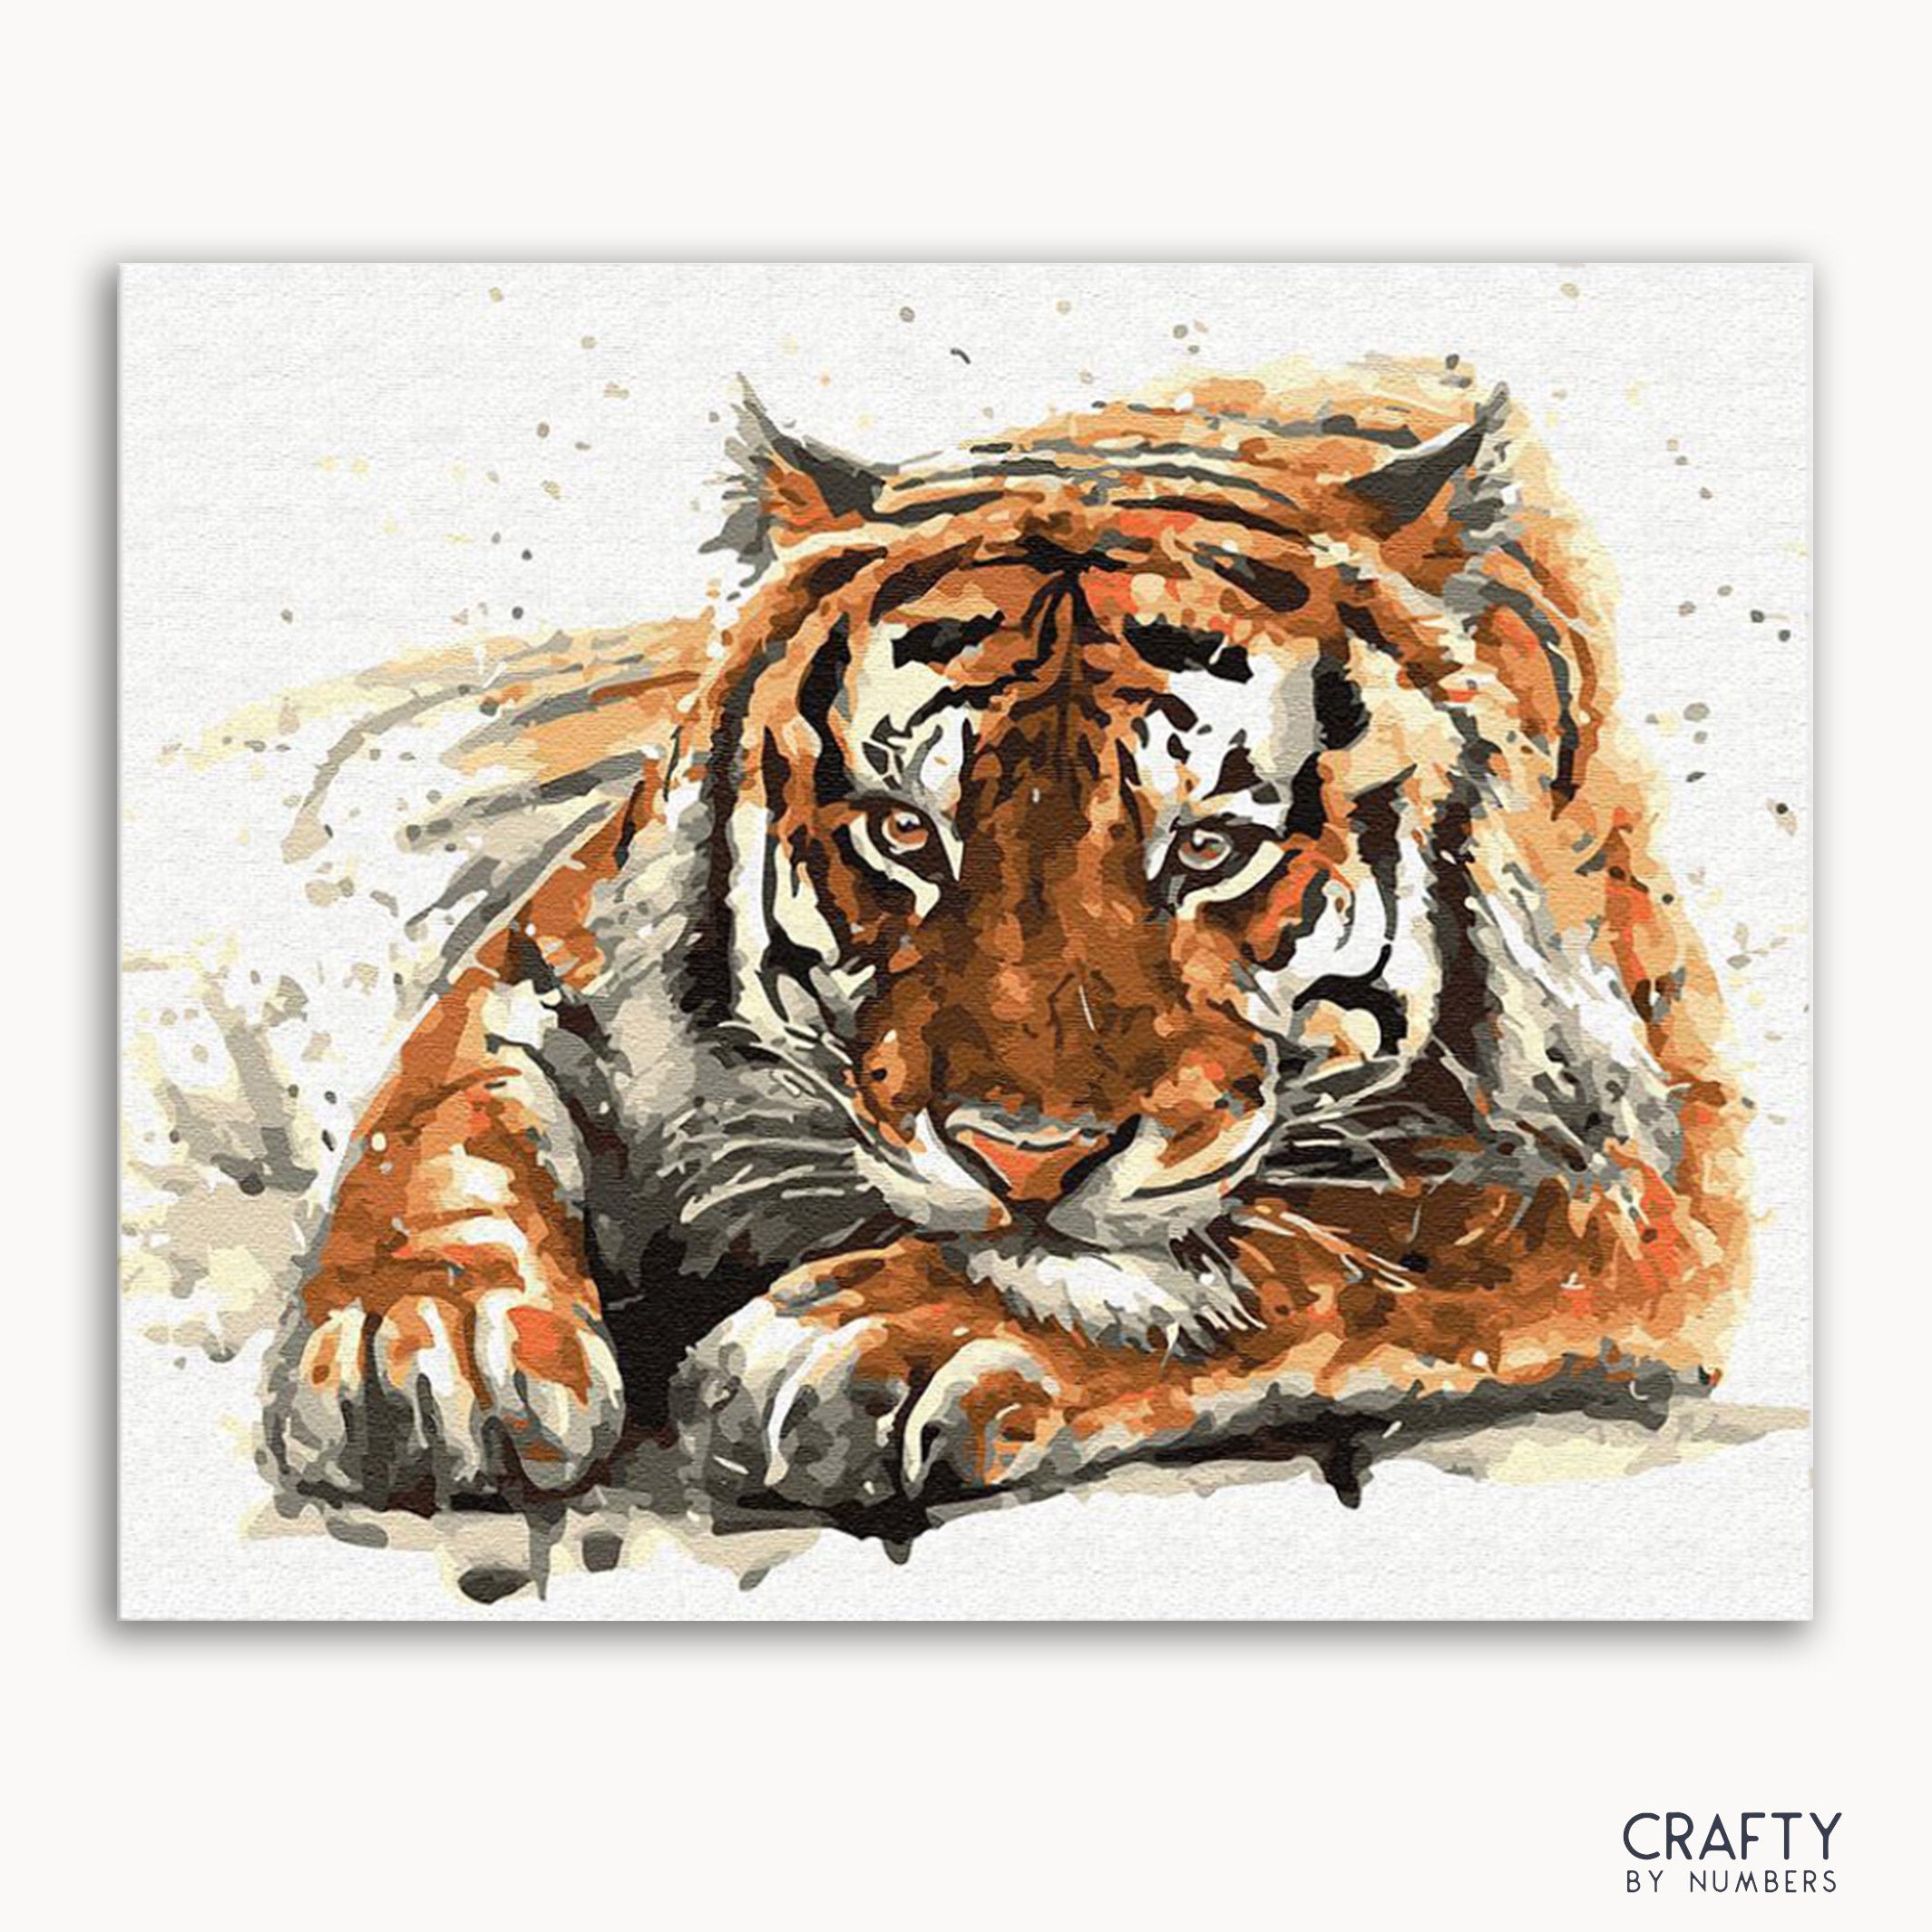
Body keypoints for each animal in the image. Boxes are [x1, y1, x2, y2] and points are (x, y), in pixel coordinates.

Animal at [264, 356, 1750, 1528]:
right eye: (904, 835)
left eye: (1208, 850)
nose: (1022, 1159)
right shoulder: (557, 962)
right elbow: (442, 1114)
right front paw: (423, 1335)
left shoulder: (1626, 1167)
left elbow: (1315, 1242)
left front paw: (869, 1337)